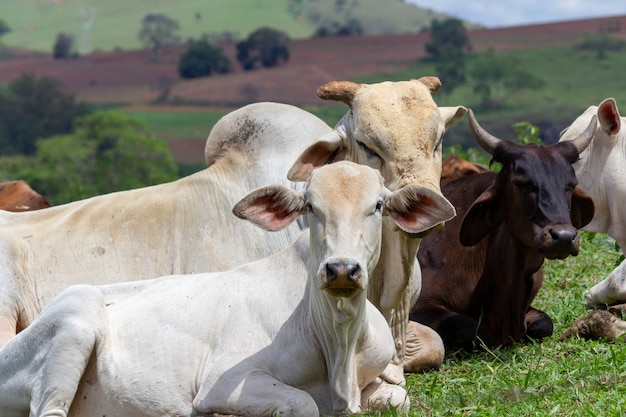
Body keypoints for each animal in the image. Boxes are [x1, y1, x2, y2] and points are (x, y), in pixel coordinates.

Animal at [0, 162, 438, 416]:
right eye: (310, 206)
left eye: (378, 206)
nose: (341, 269)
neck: (338, 341)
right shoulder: (221, 385)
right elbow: (304, 403)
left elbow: (398, 398)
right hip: (78, 310)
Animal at [410, 110, 596, 352]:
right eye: (522, 183)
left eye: (571, 185)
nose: (563, 237)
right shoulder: (421, 304)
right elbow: (475, 331)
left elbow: (544, 323)